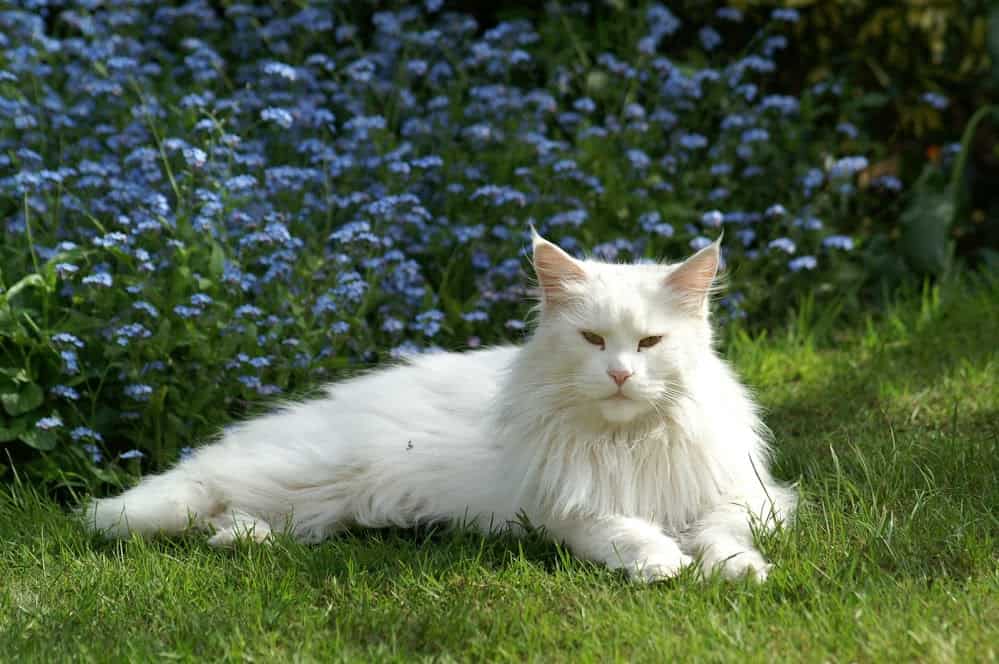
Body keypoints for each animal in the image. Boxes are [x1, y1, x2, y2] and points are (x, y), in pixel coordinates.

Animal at [86, 232, 796, 580]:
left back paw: (242, 539)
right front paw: (661, 564)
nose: (620, 374)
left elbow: (722, 535)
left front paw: (739, 571)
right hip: (309, 472)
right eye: (594, 341)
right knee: (208, 490)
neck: (625, 444)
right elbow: (626, 531)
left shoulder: (742, 498)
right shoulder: (566, 514)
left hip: (327, 500)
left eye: (649, 344)